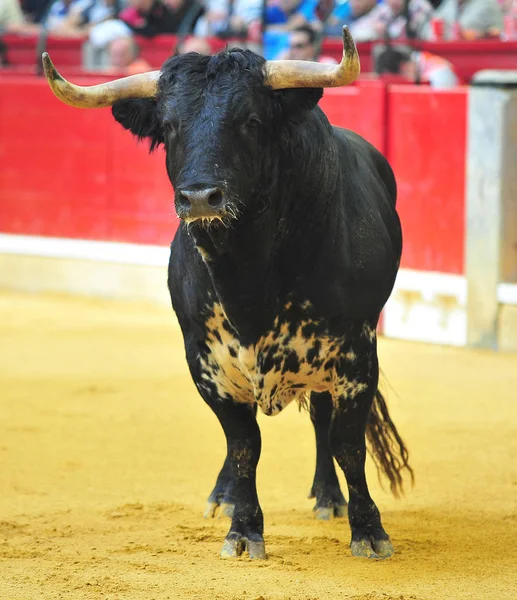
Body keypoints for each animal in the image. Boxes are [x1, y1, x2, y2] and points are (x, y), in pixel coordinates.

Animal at [41, 27, 412, 564]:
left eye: (251, 121)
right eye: (169, 126)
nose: (199, 197)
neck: (248, 278)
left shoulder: (356, 353)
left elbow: (347, 442)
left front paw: (368, 530)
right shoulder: (205, 361)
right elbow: (243, 446)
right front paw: (243, 528)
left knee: (323, 419)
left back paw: (328, 497)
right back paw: (225, 495)